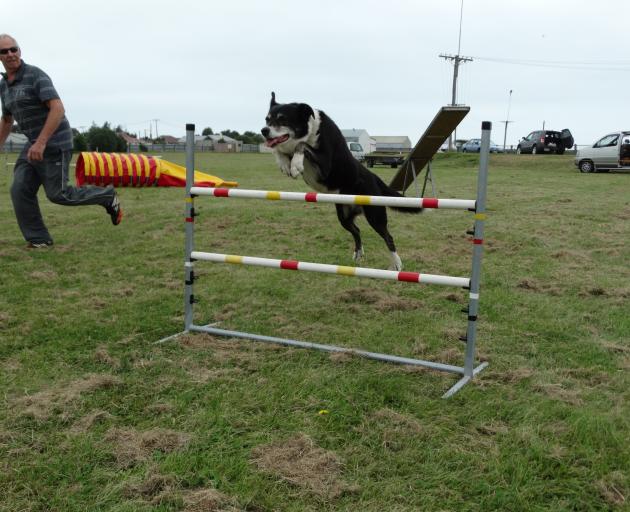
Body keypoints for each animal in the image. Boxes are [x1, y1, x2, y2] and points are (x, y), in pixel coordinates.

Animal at [262, 94, 424, 274]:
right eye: (267, 119)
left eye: (282, 119)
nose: (264, 131)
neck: (311, 129)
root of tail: (373, 177)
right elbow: (278, 149)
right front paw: (284, 163)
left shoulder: (325, 164)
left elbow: (301, 145)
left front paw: (295, 164)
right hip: (344, 216)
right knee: (357, 230)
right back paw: (358, 254)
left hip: (375, 215)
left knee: (388, 236)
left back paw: (396, 264)